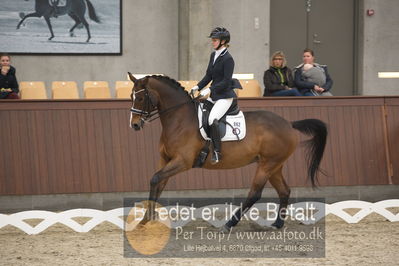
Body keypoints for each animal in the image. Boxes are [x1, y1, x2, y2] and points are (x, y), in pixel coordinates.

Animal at [129, 73, 328, 231]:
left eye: (140, 98)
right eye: (131, 96)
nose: (135, 125)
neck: (179, 120)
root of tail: (289, 124)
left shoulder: (182, 162)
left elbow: (155, 179)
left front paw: (148, 219)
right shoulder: (165, 159)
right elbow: (158, 182)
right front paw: (146, 220)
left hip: (267, 164)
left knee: (255, 194)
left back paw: (229, 224)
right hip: (274, 166)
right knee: (284, 191)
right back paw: (277, 224)